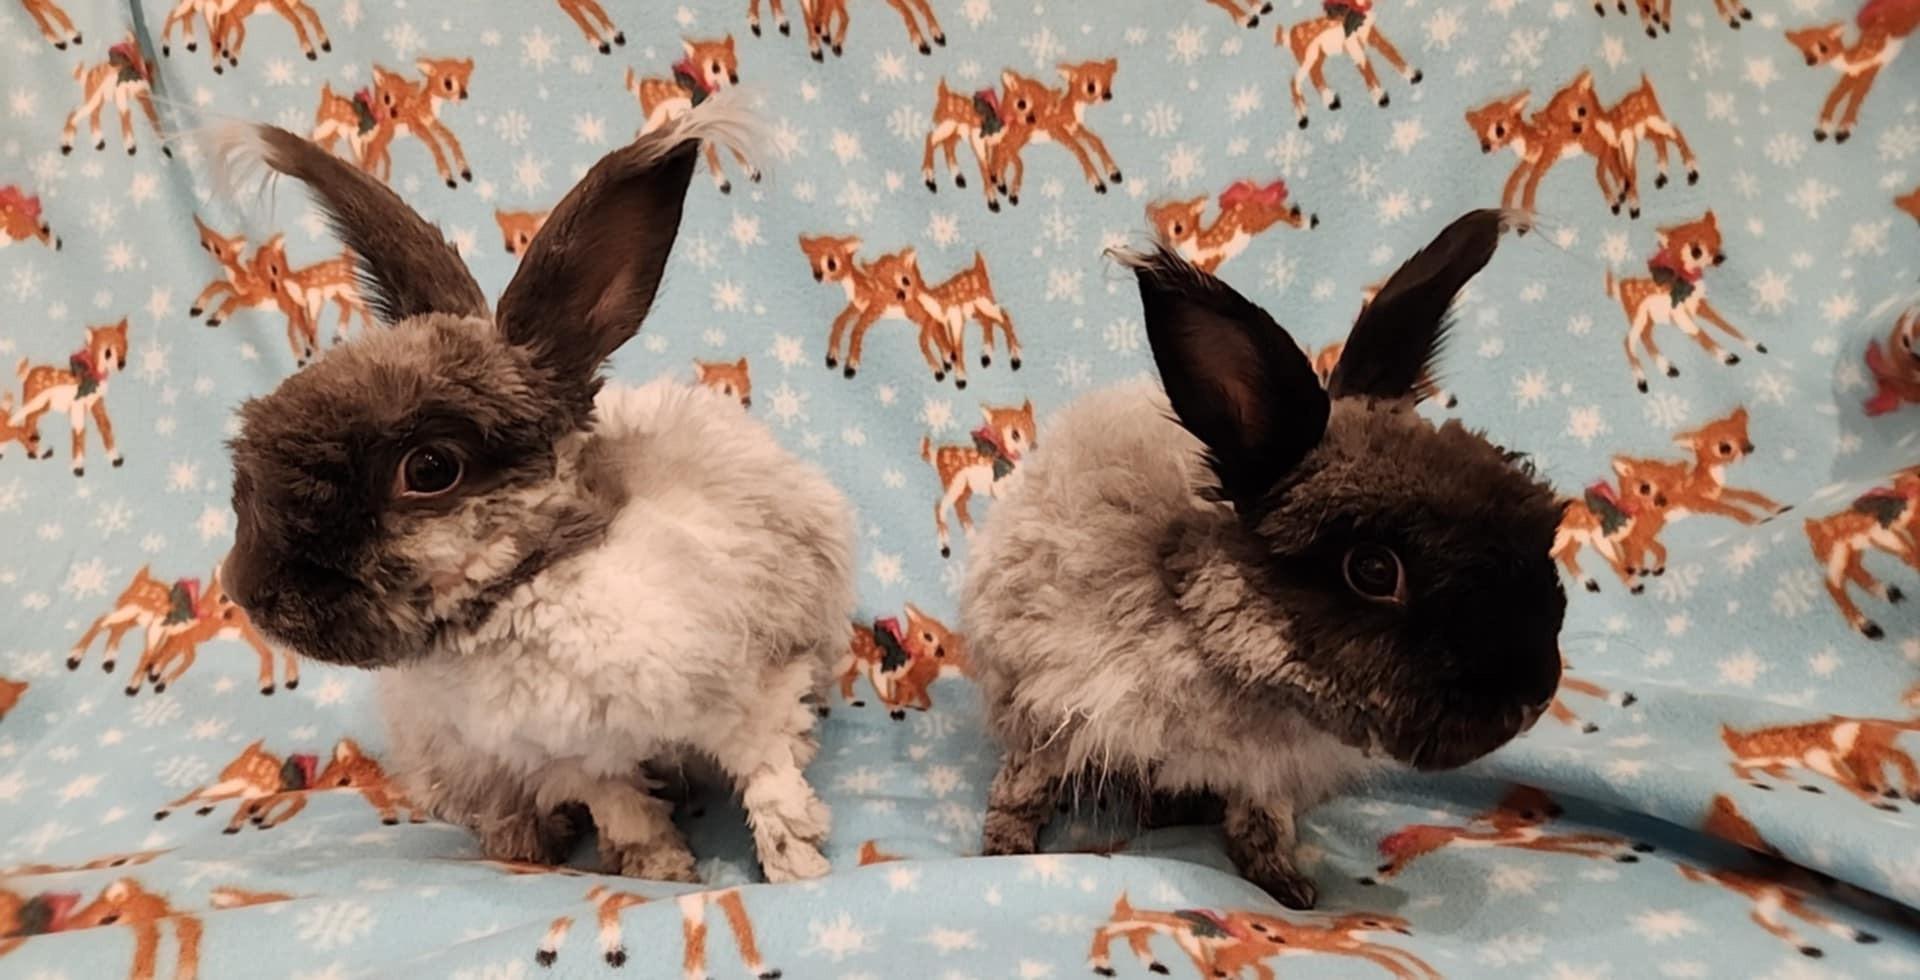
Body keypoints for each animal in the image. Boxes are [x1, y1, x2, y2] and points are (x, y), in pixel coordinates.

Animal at [212, 102, 856, 883]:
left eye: (430, 468)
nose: (248, 592)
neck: (526, 591)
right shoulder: (575, 759)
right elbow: (629, 813)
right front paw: (661, 873)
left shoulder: (754, 699)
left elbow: (771, 788)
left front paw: (800, 873)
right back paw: (522, 846)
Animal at [958, 209, 1567, 909]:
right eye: (1373, 570)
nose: (1534, 696)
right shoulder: (1051, 703)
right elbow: (1023, 784)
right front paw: (1004, 852)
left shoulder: (1266, 772)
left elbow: (1262, 820)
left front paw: (1288, 890)